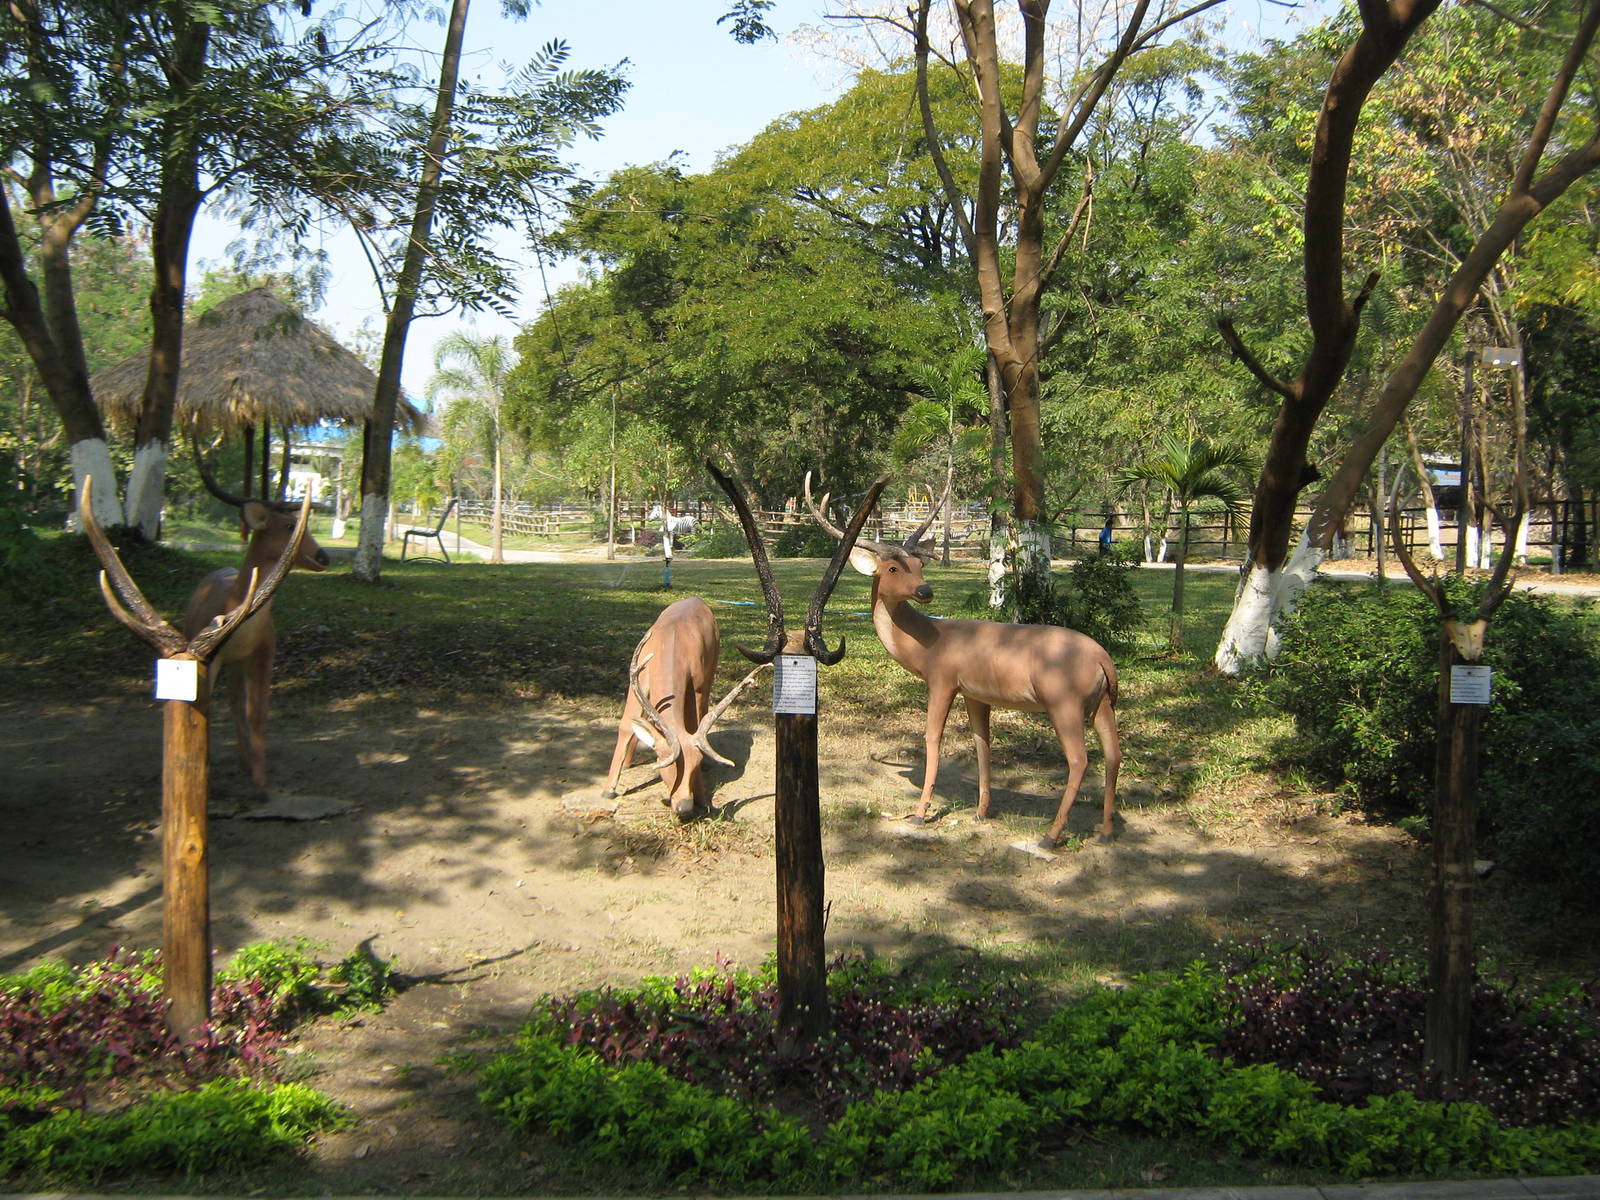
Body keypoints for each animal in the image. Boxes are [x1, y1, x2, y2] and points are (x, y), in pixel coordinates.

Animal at [187, 441, 330, 797]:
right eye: (290, 527)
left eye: (303, 524)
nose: (324, 556)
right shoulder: (210, 658)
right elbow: (204, 708)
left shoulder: (264, 652)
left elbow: (259, 713)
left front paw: (261, 782)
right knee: (227, 703)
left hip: (238, 664)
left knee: (237, 703)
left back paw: (243, 762)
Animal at [602, 597, 765, 818]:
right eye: (667, 765)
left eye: (694, 764)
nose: (684, 806)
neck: (670, 645)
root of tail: (697, 599)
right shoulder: (640, 675)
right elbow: (627, 724)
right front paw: (609, 789)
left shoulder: (696, 683)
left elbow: (694, 722)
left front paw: (704, 799)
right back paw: (627, 763)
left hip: (711, 667)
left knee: (703, 710)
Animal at [806, 474, 1120, 848]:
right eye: (894, 567)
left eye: (919, 565)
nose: (925, 591)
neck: (927, 643)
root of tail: (1103, 659)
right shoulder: (974, 693)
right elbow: (982, 744)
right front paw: (981, 811)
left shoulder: (943, 679)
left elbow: (931, 737)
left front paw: (920, 812)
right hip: (1102, 703)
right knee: (1114, 754)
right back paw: (1105, 831)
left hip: (1064, 700)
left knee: (1080, 759)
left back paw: (1051, 835)